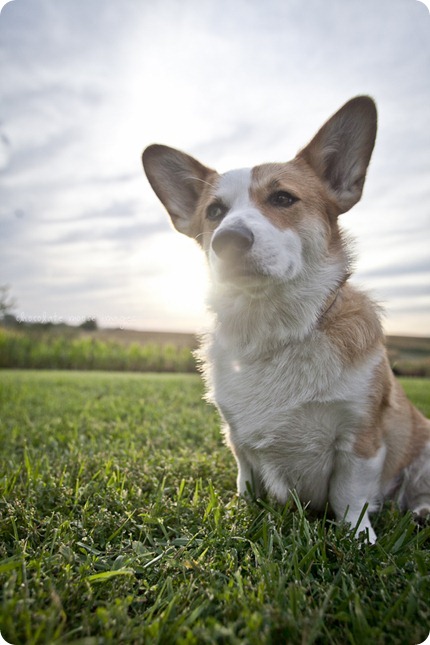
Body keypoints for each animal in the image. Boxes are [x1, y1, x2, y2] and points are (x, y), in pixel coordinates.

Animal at [143, 95, 430, 540]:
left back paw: (420, 511)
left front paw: (358, 539)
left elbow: (351, 499)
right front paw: (241, 515)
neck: (273, 329)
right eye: (215, 211)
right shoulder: (238, 441)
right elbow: (247, 483)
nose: (228, 240)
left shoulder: (359, 438)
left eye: (282, 199)